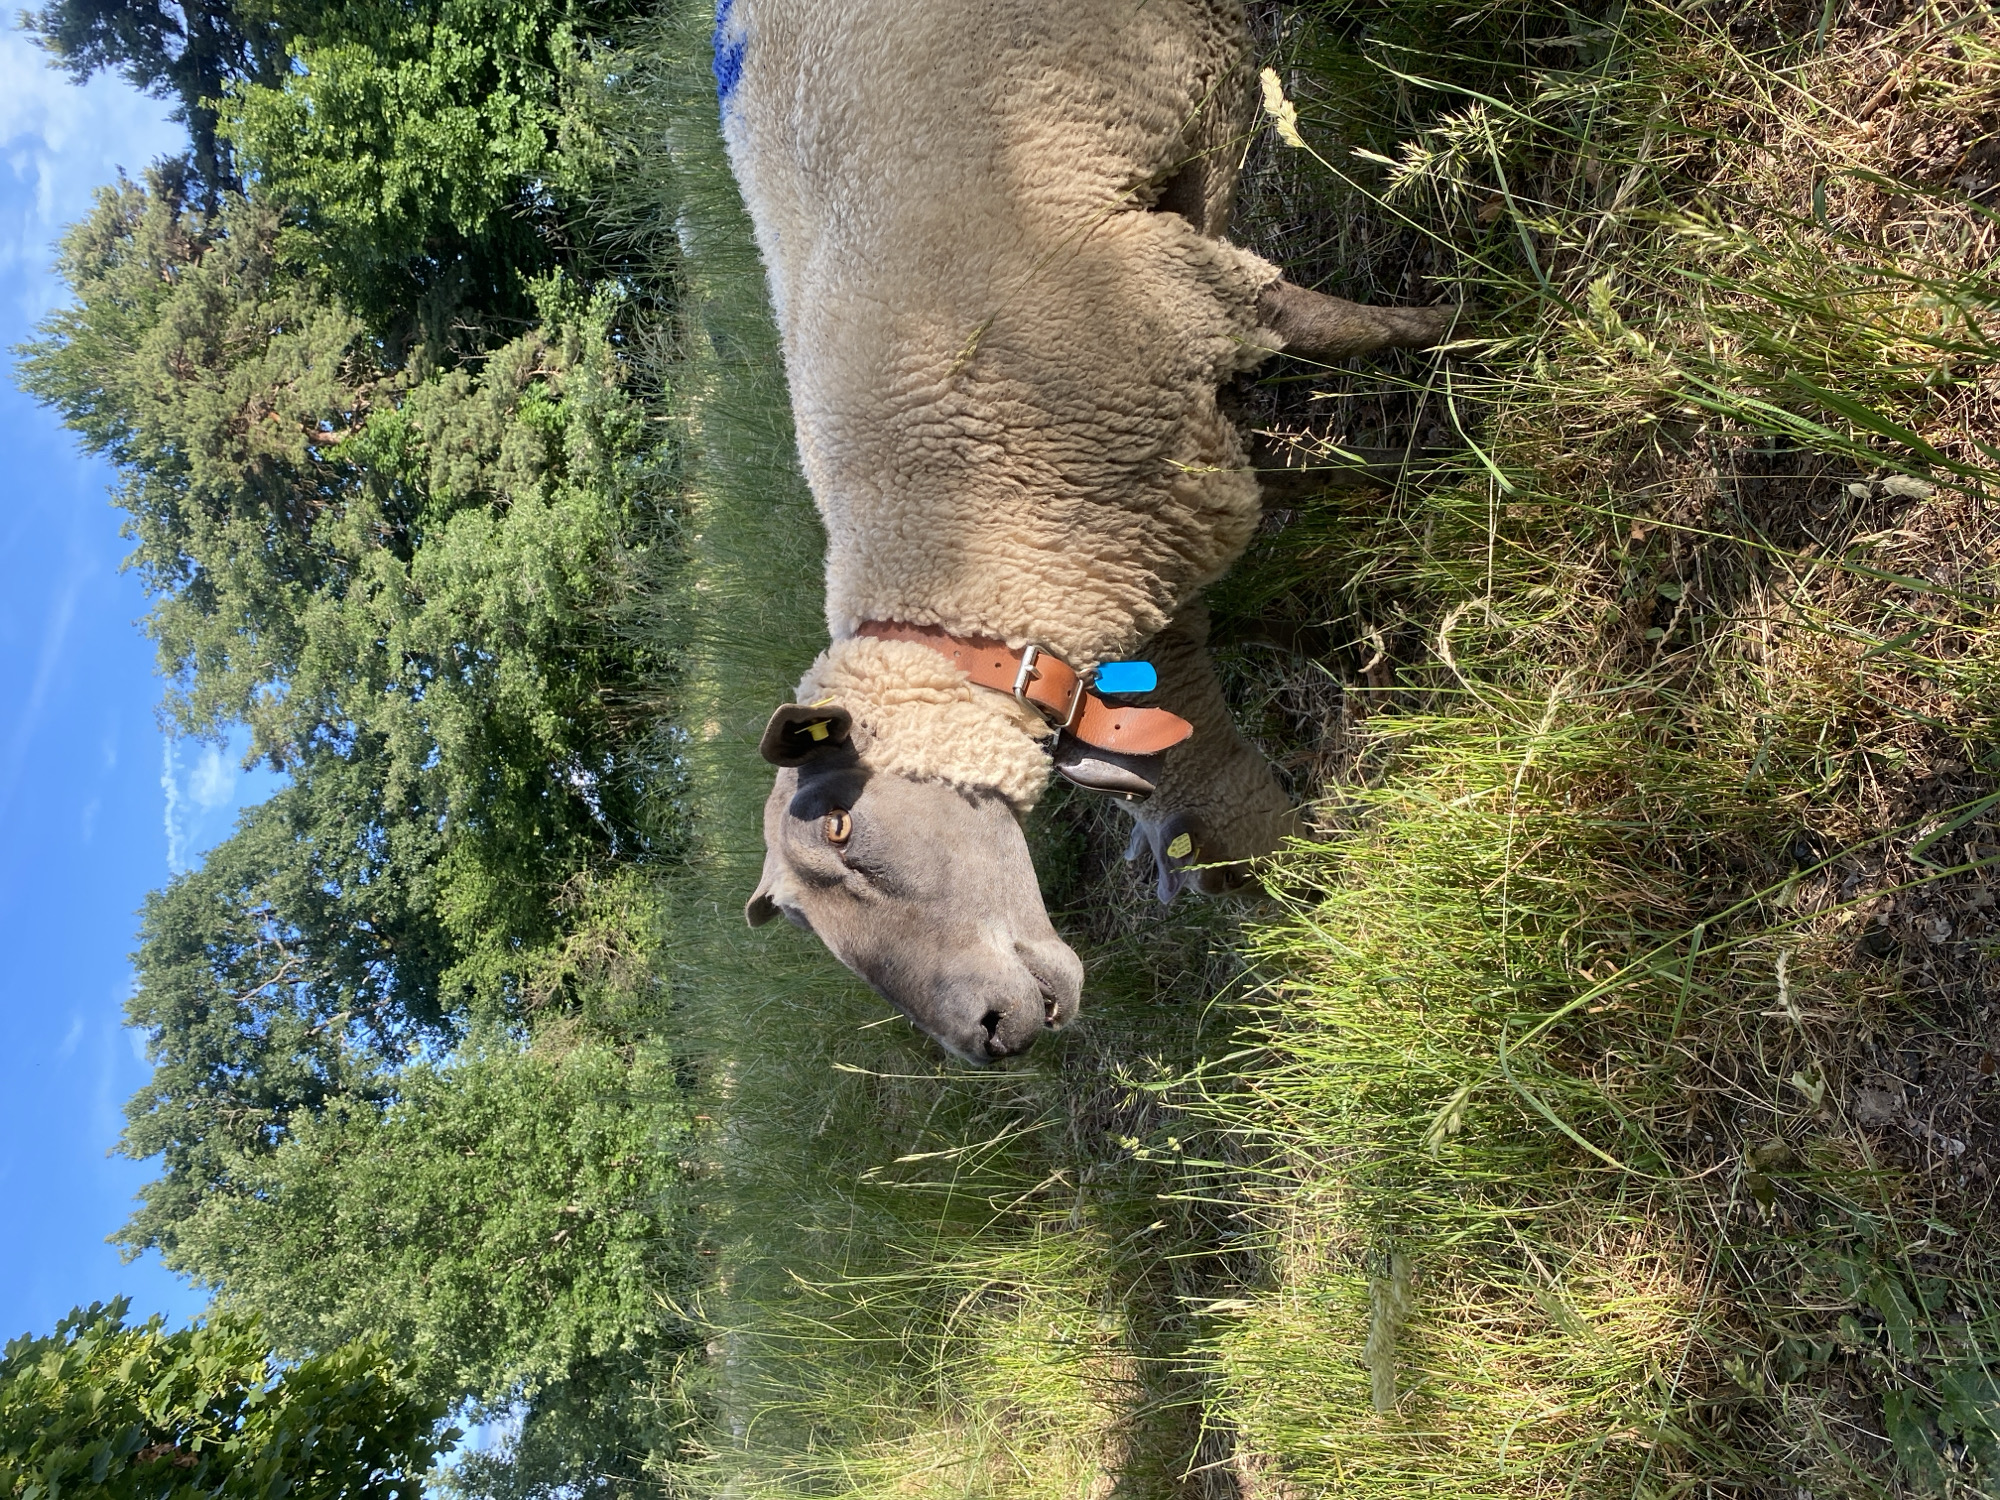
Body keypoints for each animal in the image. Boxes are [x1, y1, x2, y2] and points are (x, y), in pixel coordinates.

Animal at [721, 0, 1453, 1062]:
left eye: (843, 833)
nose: (985, 1038)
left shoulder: (1177, 291)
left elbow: (1352, 329)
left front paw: (1472, 335)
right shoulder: (1168, 499)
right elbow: (1291, 531)